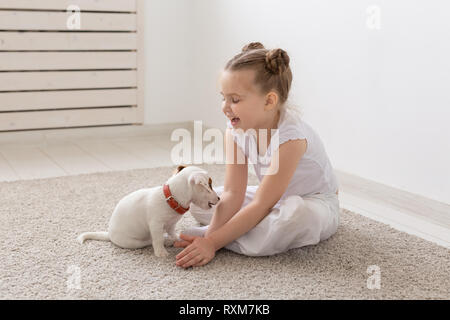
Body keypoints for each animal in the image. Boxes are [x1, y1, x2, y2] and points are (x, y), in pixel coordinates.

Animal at [78, 165, 221, 258]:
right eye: (209, 185)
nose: (219, 198)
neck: (172, 198)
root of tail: (109, 234)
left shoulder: (171, 224)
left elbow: (172, 232)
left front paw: (176, 239)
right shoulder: (156, 225)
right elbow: (157, 239)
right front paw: (161, 252)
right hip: (133, 242)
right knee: (149, 241)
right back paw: (165, 242)